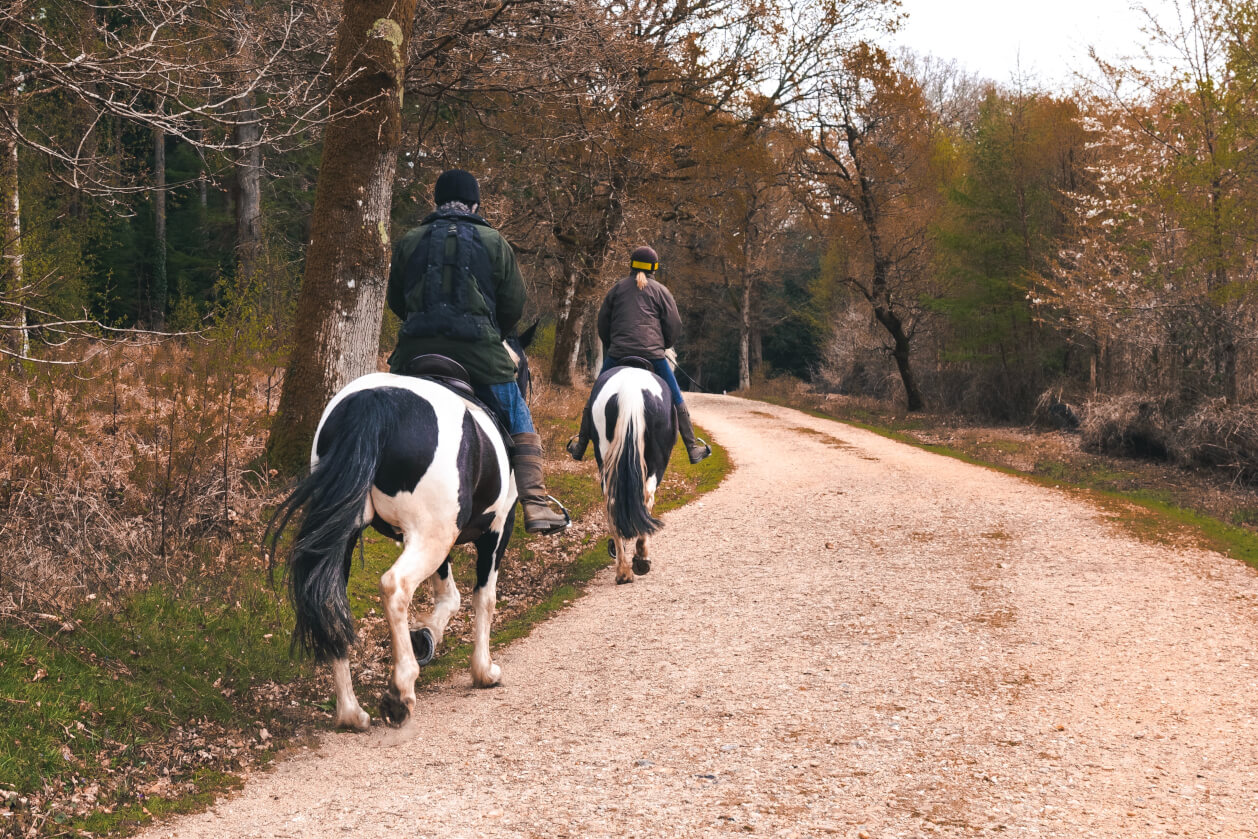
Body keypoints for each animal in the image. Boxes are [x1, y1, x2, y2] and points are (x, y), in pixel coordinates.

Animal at [270, 332, 535, 729]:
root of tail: (375, 403)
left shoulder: (441, 538)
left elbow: (449, 596)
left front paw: (426, 636)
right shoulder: (496, 530)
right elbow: (483, 598)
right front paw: (483, 670)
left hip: (351, 536)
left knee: (330, 600)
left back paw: (350, 713)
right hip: (430, 537)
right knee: (395, 587)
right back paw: (400, 691)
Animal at [581, 364, 679, 588]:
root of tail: (630, 391)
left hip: (606, 458)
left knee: (612, 502)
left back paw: (623, 571)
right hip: (656, 461)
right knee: (646, 497)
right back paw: (640, 559)